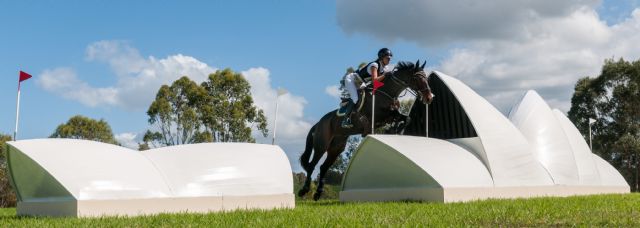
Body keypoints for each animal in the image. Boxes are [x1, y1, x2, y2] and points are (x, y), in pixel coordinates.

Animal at [298, 60, 432, 200]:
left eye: (426, 78)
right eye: (418, 78)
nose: (429, 97)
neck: (386, 93)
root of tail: (319, 123)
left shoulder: (389, 116)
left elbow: (406, 118)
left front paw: (394, 130)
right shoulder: (378, 116)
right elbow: (397, 117)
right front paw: (392, 130)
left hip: (336, 148)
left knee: (323, 167)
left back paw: (318, 193)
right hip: (321, 145)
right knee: (312, 165)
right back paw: (304, 190)